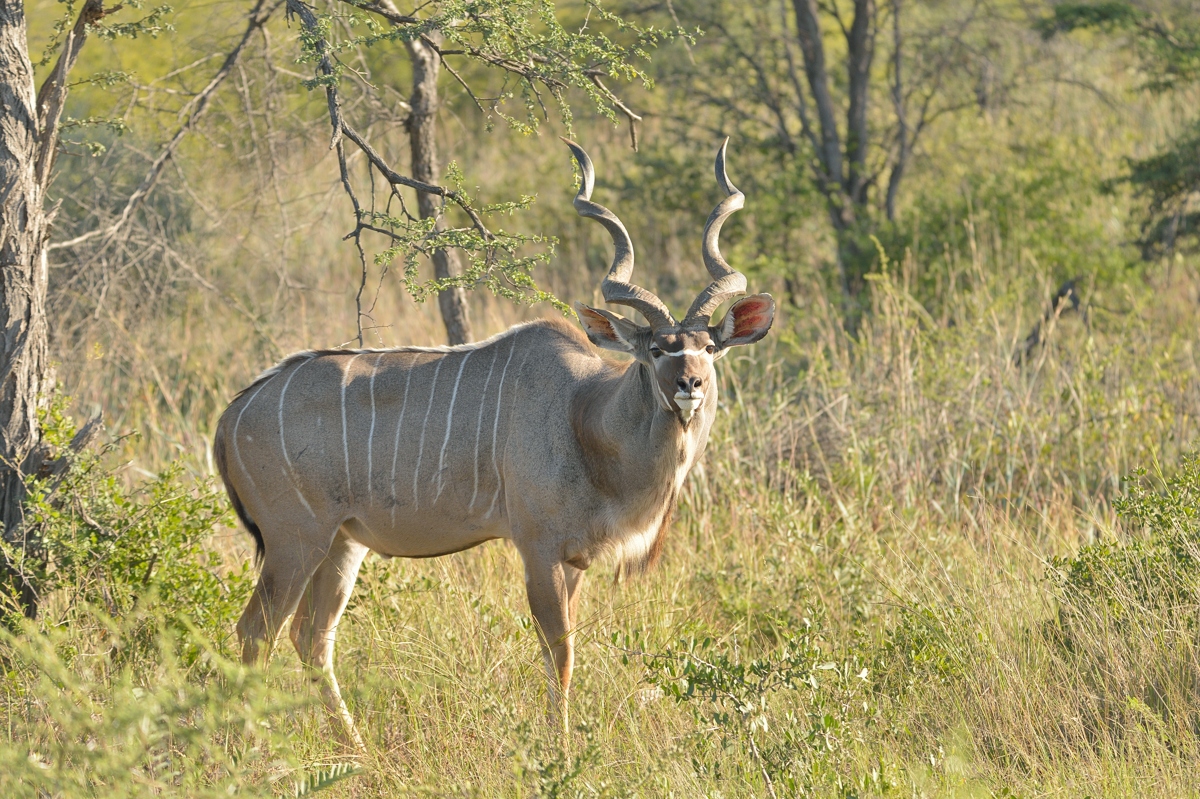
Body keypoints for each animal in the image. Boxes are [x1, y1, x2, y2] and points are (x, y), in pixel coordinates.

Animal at [211, 138, 772, 739]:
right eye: (656, 350)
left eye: (708, 348)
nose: (690, 384)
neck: (585, 413)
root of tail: (232, 414)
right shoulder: (539, 549)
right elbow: (558, 651)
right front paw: (559, 746)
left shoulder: (573, 561)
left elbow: (567, 647)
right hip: (295, 541)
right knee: (257, 632)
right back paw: (254, 745)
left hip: (342, 544)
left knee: (311, 638)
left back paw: (355, 747)